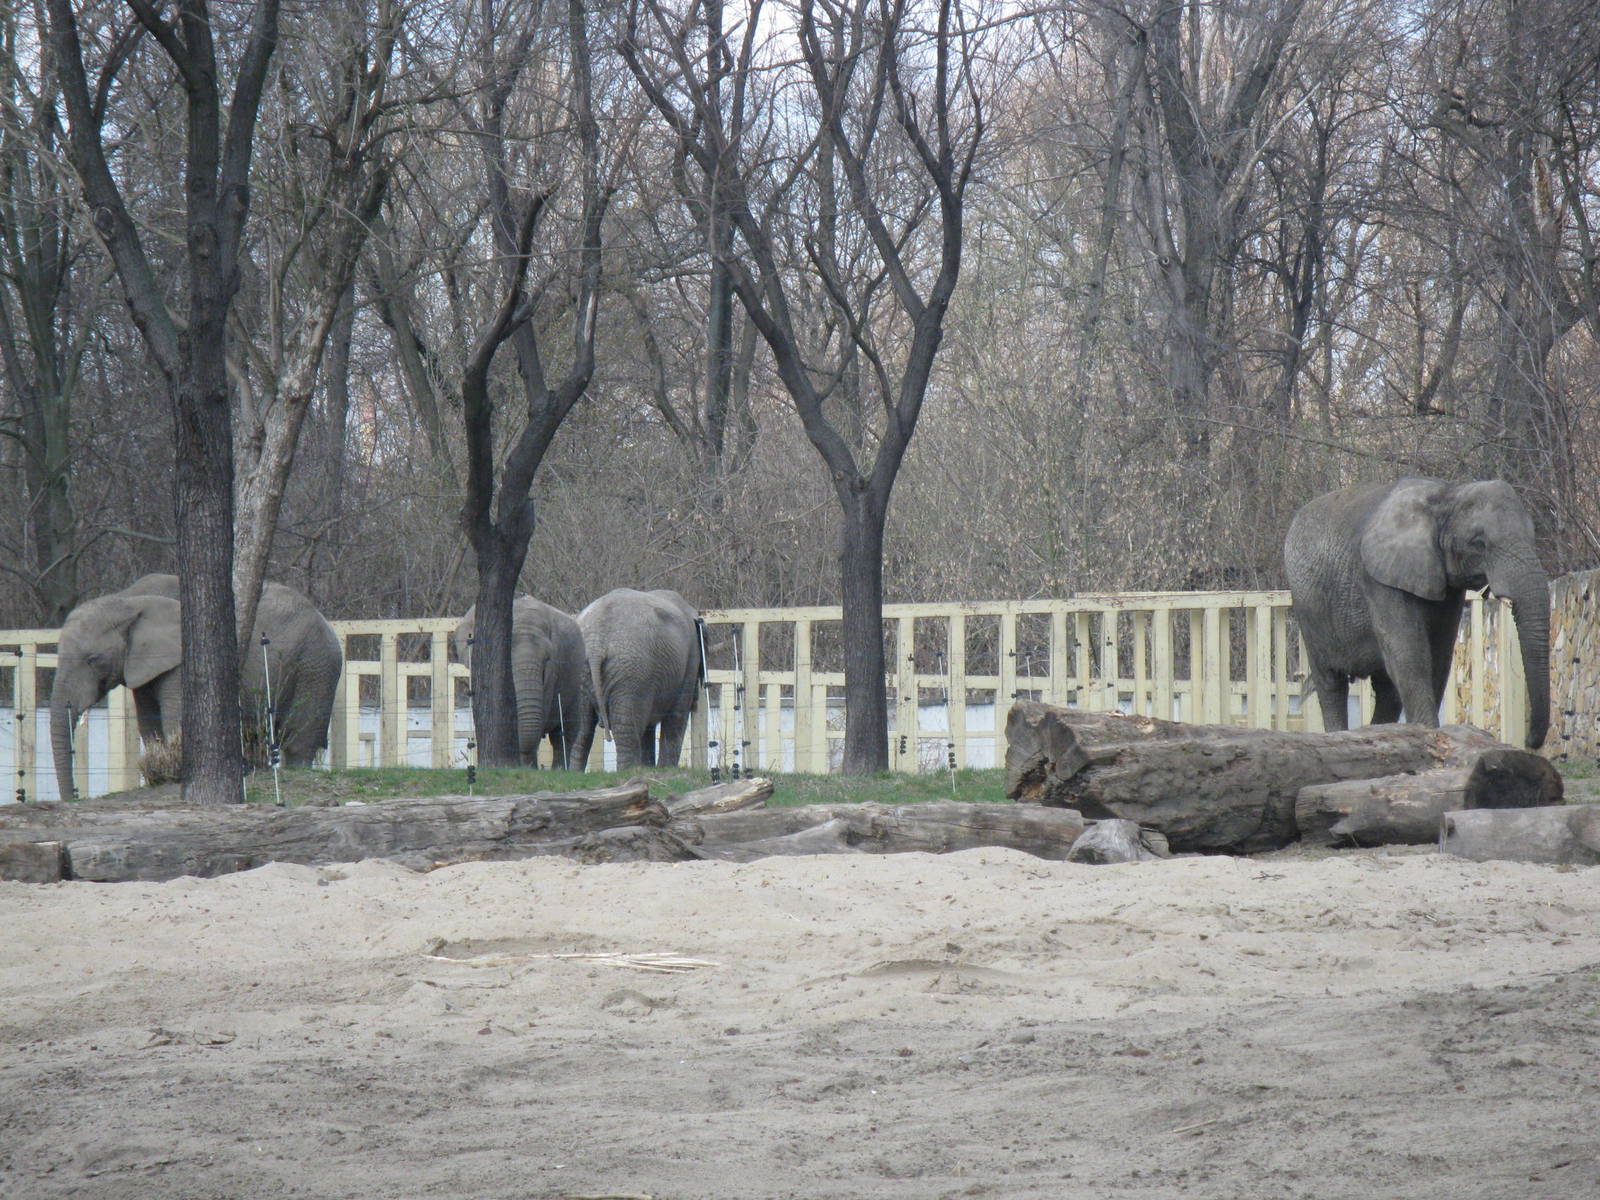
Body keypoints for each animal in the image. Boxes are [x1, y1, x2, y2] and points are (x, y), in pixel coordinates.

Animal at [50, 574, 345, 793]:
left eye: (93, 660)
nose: (73, 796)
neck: (127, 599)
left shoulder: (181, 660)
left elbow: (175, 719)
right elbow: (148, 721)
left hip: (315, 664)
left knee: (298, 739)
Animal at [568, 588, 702, 770]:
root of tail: (597, 645)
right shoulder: (690, 662)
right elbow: (676, 716)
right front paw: (665, 770)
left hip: (582, 669)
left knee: (581, 731)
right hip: (632, 671)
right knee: (627, 731)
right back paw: (630, 771)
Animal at [1283, 478, 1550, 749]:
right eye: (1478, 543)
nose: (1529, 742)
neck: (1448, 495)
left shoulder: (1447, 588)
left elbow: (1439, 658)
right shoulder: (1380, 578)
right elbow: (1410, 655)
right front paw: (1428, 733)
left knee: (1387, 690)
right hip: (1308, 606)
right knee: (1331, 681)